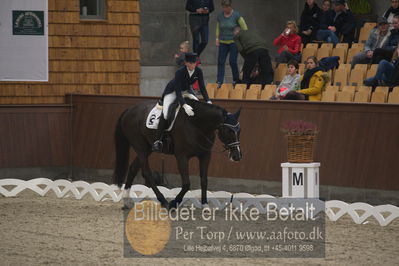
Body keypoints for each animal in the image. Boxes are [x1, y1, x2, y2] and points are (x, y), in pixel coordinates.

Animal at [112, 98, 244, 209]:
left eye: (239, 130)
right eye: (228, 131)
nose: (236, 156)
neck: (196, 124)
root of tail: (129, 110)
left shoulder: (205, 155)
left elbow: (204, 180)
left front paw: (205, 204)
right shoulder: (181, 156)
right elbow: (186, 183)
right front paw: (174, 203)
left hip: (148, 148)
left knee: (133, 168)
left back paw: (127, 201)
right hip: (140, 147)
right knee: (147, 173)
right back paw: (163, 201)